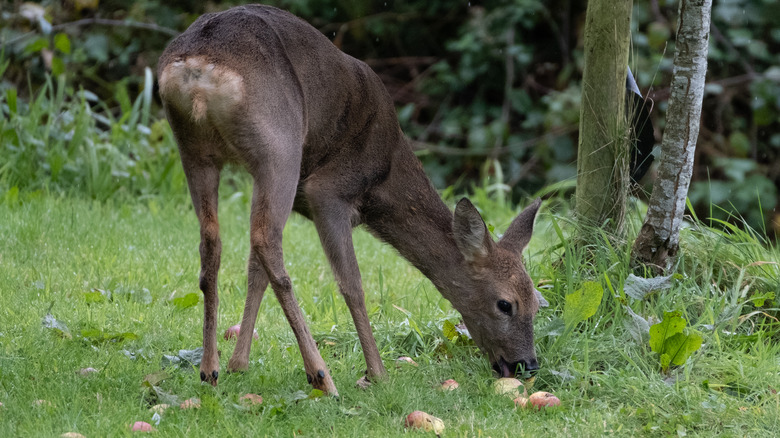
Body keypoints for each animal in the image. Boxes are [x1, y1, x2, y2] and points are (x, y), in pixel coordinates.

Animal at [160, 3, 544, 396]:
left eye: (537, 303)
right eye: (505, 304)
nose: (527, 364)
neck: (384, 176)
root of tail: (197, 67)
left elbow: (255, 272)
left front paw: (238, 364)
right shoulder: (328, 191)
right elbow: (352, 284)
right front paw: (377, 373)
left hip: (194, 149)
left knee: (214, 243)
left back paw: (209, 368)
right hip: (278, 146)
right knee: (266, 241)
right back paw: (321, 375)